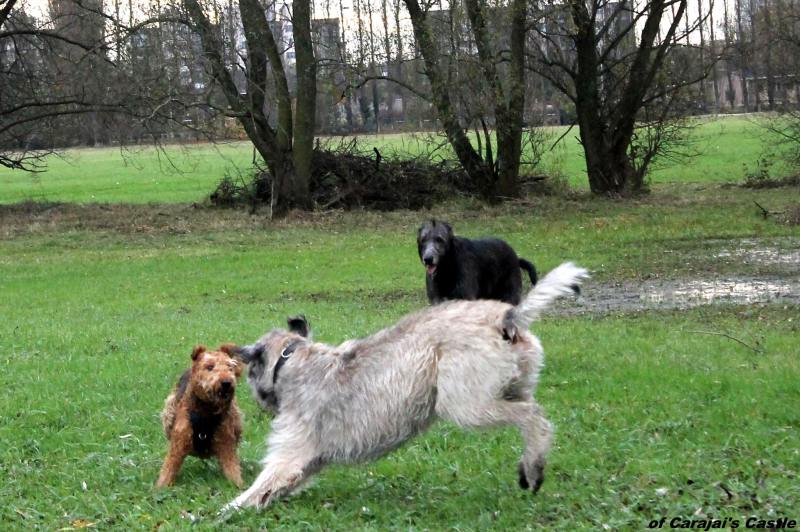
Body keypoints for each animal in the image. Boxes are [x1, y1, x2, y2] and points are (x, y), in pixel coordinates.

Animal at [156, 344, 244, 488]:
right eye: (210, 367)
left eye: (230, 367)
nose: (226, 382)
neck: (206, 411)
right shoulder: (178, 445)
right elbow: (168, 469)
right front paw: (159, 488)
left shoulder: (226, 444)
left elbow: (233, 469)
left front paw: (238, 486)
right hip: (169, 412)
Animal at [222, 262, 588, 511]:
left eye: (251, 373)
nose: (260, 400)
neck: (294, 360)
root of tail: (507, 319)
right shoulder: (310, 459)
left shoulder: (291, 453)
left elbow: (261, 485)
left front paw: (226, 511)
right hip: (513, 385)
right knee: (534, 413)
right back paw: (529, 465)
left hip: (467, 404)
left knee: (532, 416)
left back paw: (534, 468)